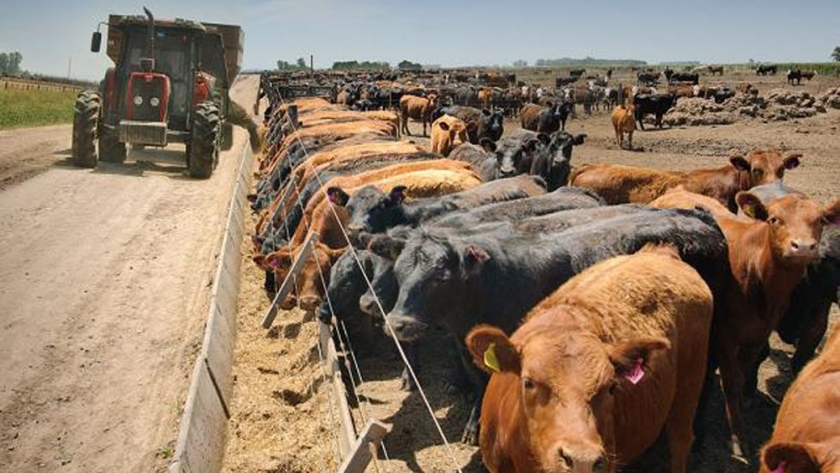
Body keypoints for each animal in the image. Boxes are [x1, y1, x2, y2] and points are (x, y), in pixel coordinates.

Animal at [462, 243, 712, 472]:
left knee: (680, 439)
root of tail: (661, 252)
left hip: (690, 384)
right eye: (528, 382)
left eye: (611, 387)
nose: (582, 459)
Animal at [652, 187, 840, 458]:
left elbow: (744, 375)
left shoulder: (757, 336)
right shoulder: (725, 337)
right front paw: (737, 435)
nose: (803, 246)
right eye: (774, 219)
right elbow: (732, 382)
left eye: (820, 220)